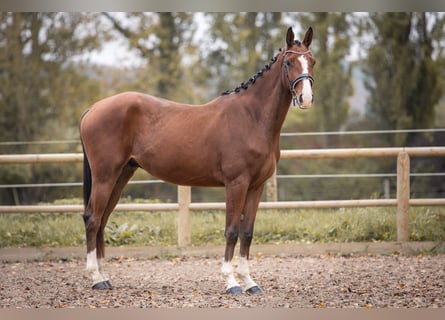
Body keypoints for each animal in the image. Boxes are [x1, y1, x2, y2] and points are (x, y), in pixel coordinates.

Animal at [80, 27, 316, 296]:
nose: (306, 98)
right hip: (105, 176)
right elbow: (232, 231)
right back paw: (96, 277)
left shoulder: (256, 186)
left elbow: (247, 233)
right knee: (93, 218)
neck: (252, 117)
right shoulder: (236, 184)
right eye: (288, 63)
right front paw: (231, 282)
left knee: (103, 219)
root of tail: (93, 109)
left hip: (121, 175)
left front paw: (249, 282)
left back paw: (104, 276)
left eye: (312, 61)